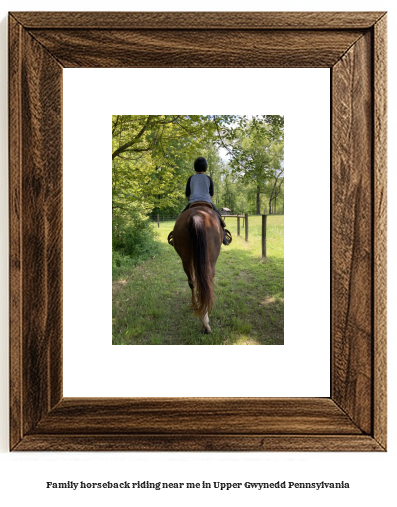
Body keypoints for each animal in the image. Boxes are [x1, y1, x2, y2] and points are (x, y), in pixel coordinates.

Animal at [172, 202, 224, 334]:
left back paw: (196, 305)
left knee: (193, 281)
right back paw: (205, 321)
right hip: (210, 262)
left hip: (186, 259)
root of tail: (196, 216)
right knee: (206, 283)